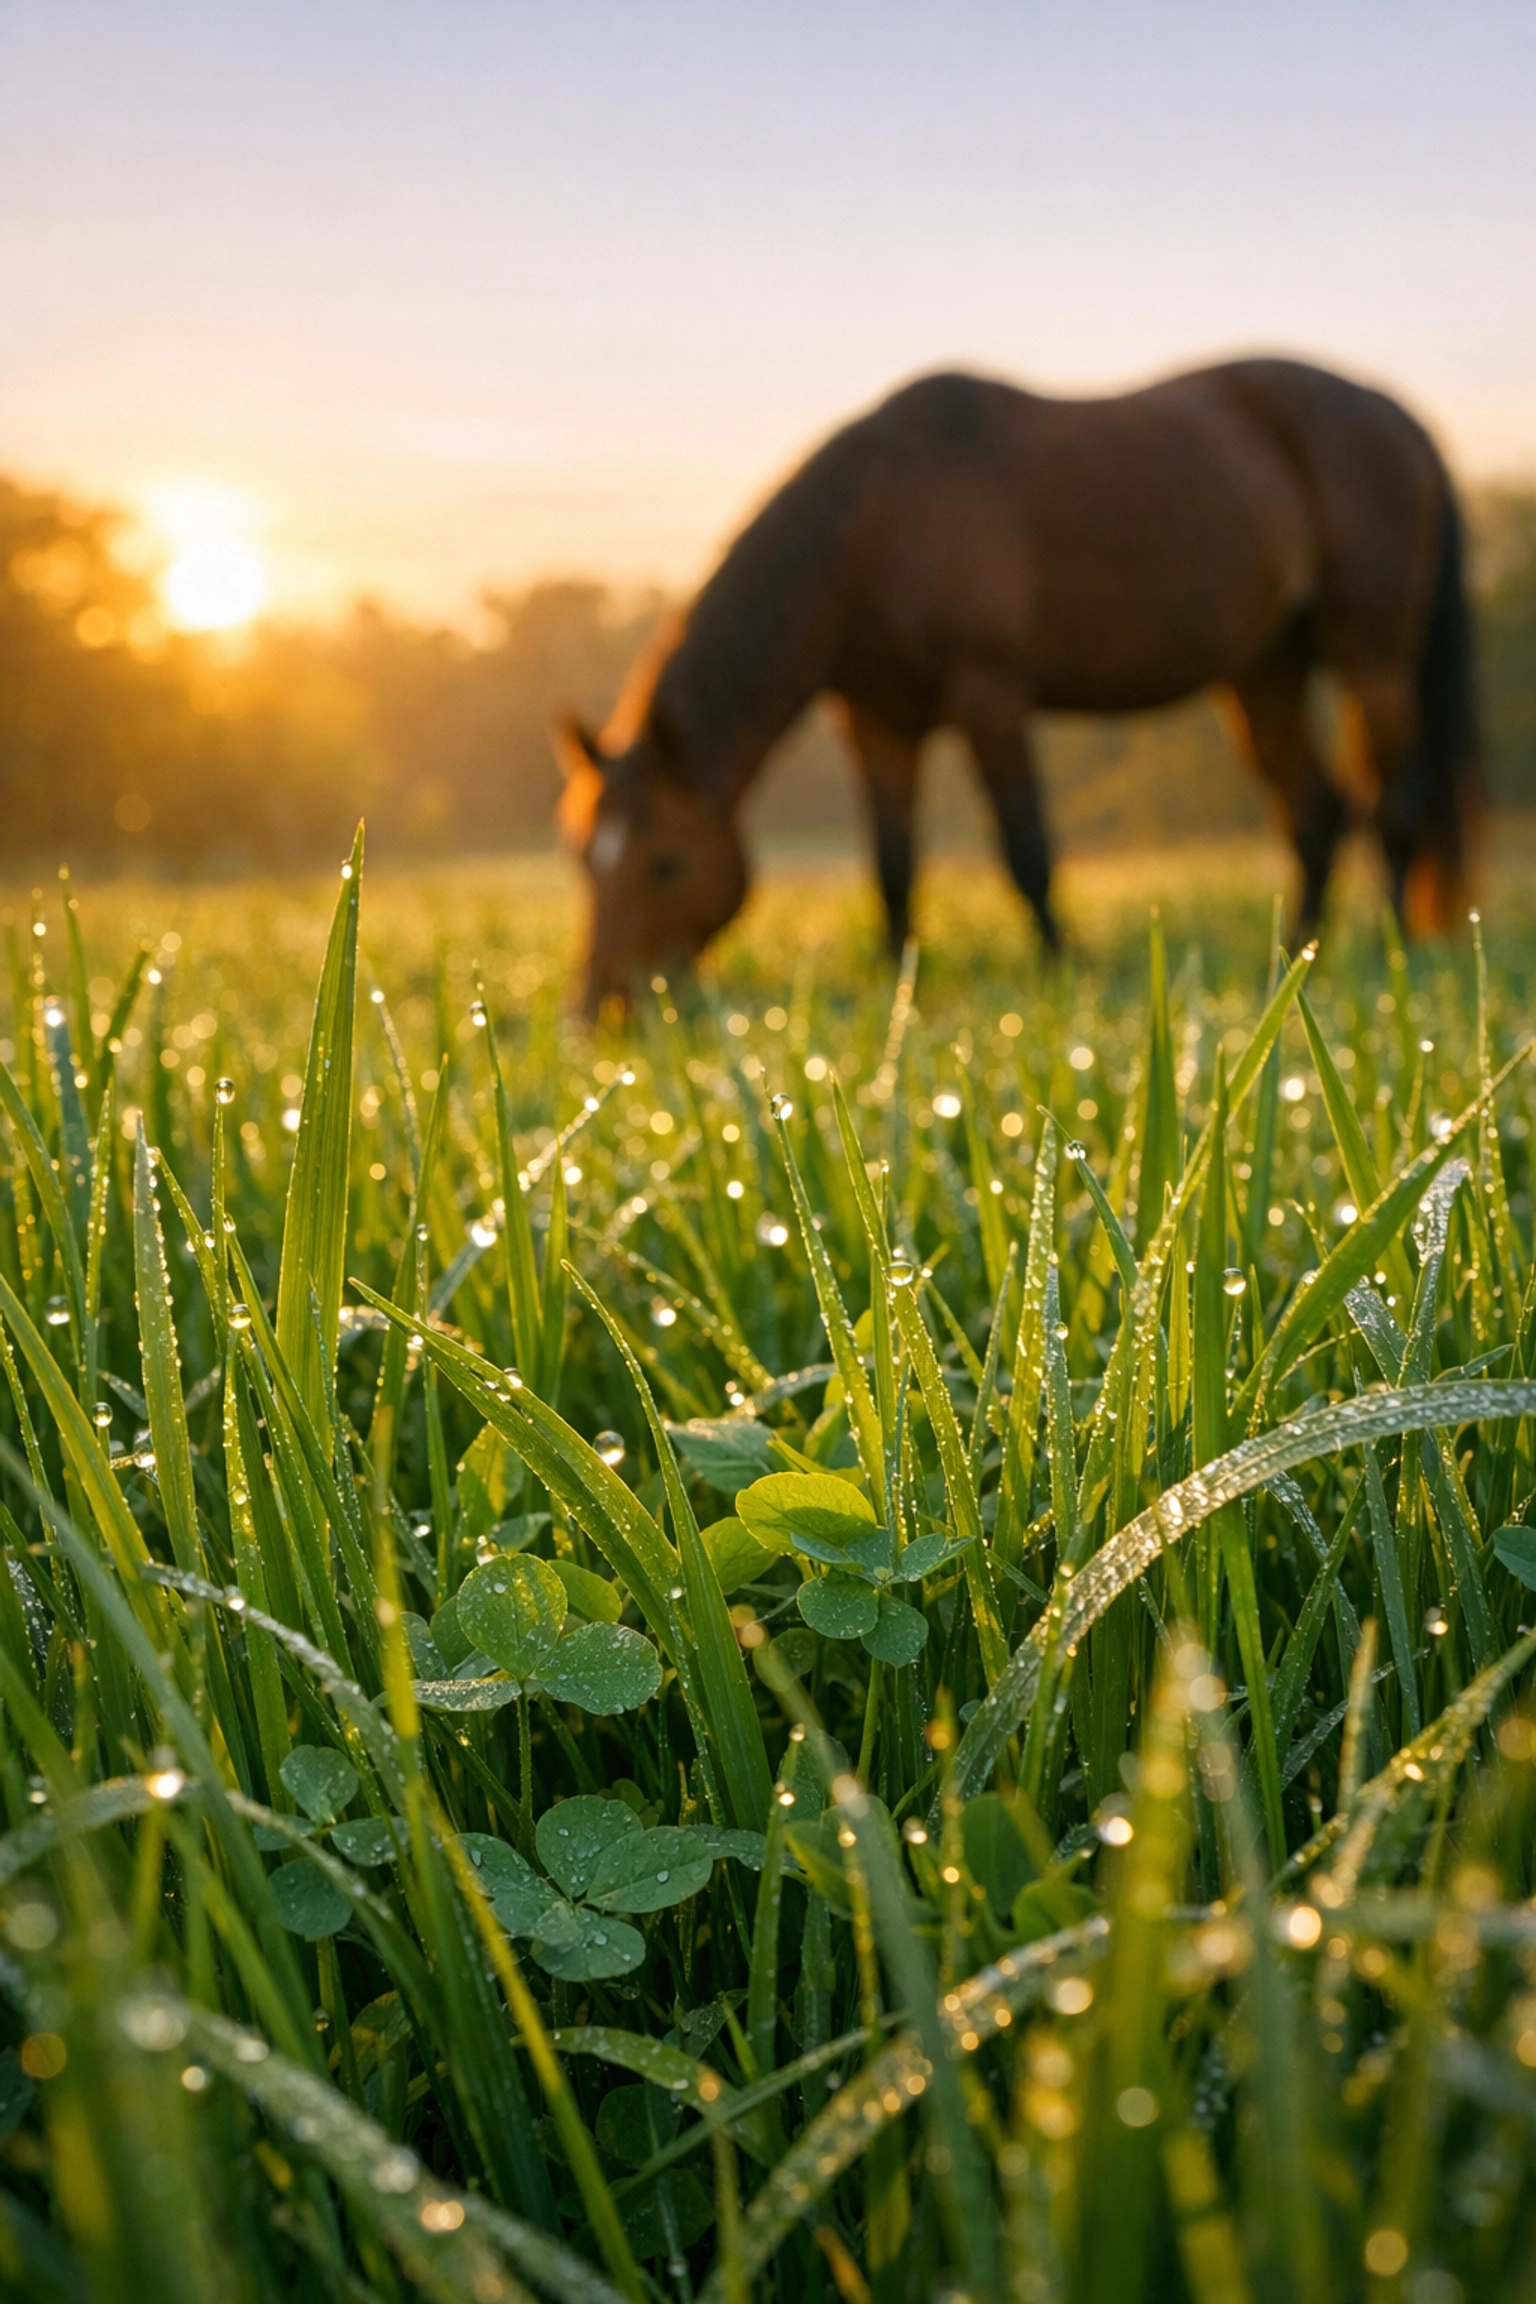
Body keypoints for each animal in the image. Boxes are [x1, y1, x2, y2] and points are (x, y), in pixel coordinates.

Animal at [555, 358, 1479, 1009]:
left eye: (666, 863)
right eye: (580, 855)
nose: (597, 1013)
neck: (874, 525)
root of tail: (1393, 412)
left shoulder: (989, 696)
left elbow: (1025, 847)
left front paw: (1058, 966)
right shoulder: (876, 721)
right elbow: (892, 864)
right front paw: (897, 988)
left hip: (1372, 654)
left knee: (1392, 805)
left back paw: (1391, 947)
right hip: (1266, 672)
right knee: (1317, 813)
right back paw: (1297, 958)